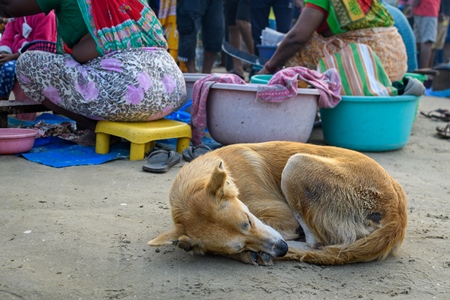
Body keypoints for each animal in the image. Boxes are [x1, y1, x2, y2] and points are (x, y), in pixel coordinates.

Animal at [149, 141, 408, 264]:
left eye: (248, 220)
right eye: (238, 245)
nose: (281, 249)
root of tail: (397, 213)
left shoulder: (282, 216)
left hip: (295, 165)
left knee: (317, 243)